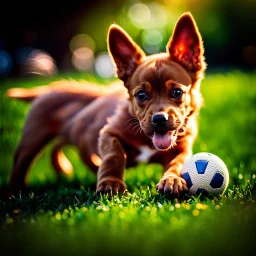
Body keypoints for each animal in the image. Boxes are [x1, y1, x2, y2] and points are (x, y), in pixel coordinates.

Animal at [6, 12, 206, 195]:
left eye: (177, 92)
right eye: (141, 95)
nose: (159, 119)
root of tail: (50, 88)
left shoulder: (182, 148)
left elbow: (178, 163)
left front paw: (172, 180)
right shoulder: (108, 134)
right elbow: (114, 156)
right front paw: (111, 183)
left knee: (61, 145)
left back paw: (67, 168)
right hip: (33, 137)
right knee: (21, 161)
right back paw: (16, 190)